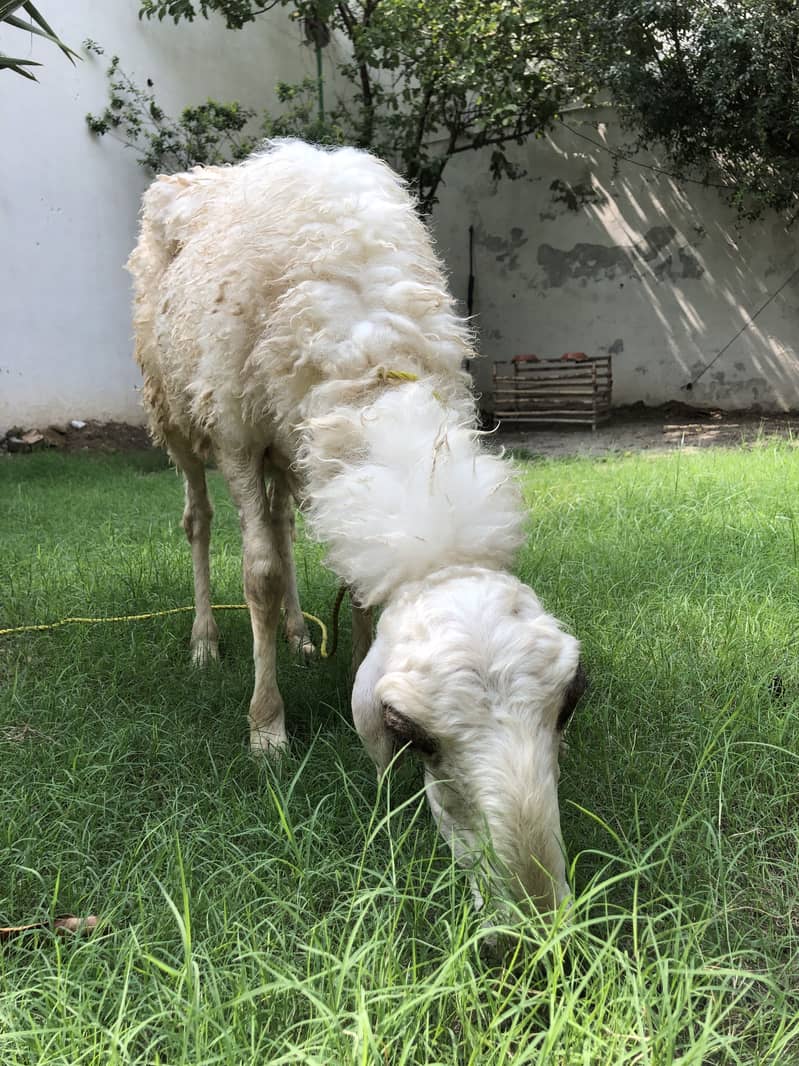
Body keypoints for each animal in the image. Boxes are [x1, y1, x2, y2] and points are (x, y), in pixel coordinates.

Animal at [127, 140, 585, 915]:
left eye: (565, 710)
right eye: (413, 736)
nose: (535, 919)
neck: (371, 357)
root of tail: (198, 173)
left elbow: (349, 585)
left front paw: (342, 663)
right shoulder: (239, 434)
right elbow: (257, 575)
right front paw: (267, 729)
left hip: (290, 446)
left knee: (282, 521)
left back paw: (297, 634)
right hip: (180, 410)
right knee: (200, 520)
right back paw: (206, 640)